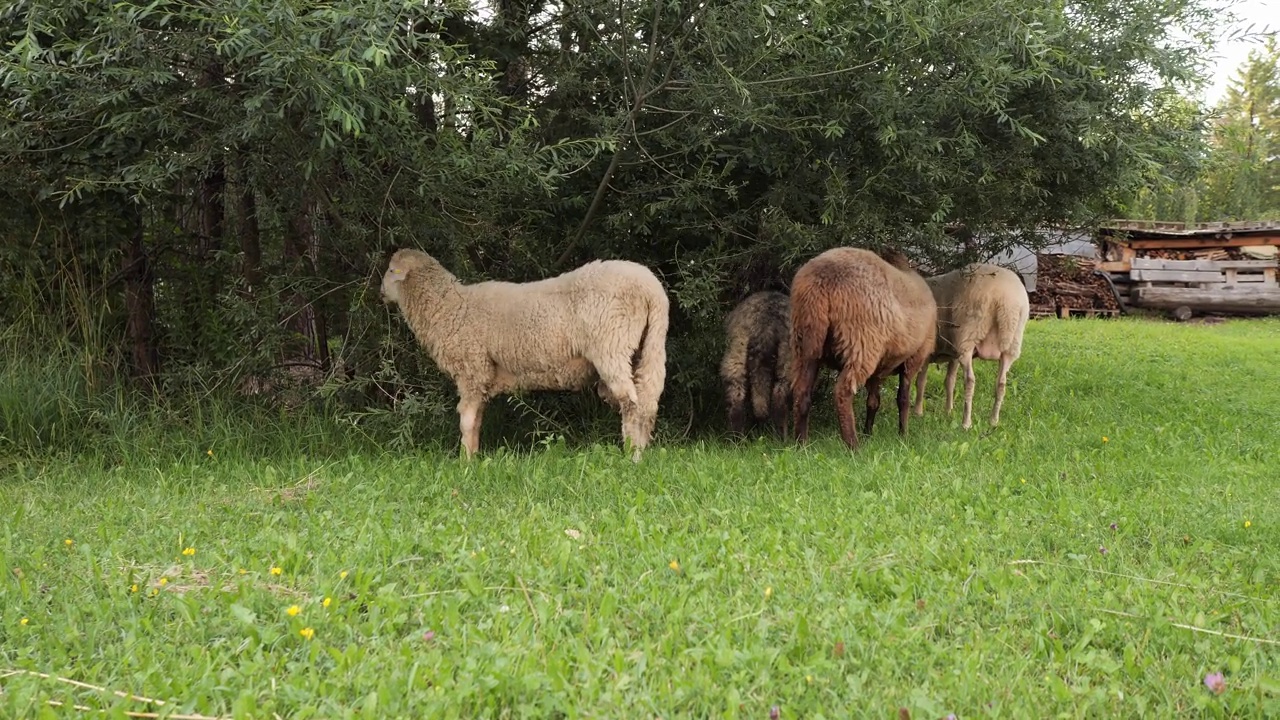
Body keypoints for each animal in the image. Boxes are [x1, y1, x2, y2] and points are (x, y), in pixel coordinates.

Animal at [721, 288, 788, 435]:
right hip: (787, 360)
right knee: (779, 396)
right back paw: (783, 437)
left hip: (736, 352)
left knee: (737, 398)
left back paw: (736, 437)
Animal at [783, 245, 936, 448]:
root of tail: (822, 278)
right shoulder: (914, 358)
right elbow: (902, 398)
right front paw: (903, 435)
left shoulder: (880, 367)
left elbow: (873, 401)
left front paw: (869, 432)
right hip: (861, 343)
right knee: (843, 392)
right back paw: (853, 445)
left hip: (805, 343)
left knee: (801, 391)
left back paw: (801, 444)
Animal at [911, 260, 1029, 425]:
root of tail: (1002, 297)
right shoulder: (952, 353)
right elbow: (949, 381)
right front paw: (948, 411)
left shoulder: (928, 351)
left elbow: (921, 381)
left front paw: (918, 412)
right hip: (1011, 343)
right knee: (1001, 383)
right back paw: (993, 421)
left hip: (968, 336)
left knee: (970, 381)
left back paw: (966, 423)